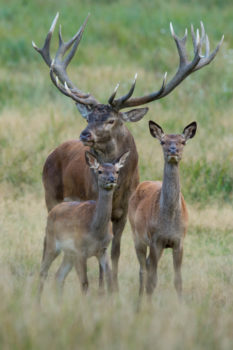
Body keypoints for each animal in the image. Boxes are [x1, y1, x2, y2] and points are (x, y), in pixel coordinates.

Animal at [38, 149, 129, 300]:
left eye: (116, 171)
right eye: (99, 171)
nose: (112, 179)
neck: (95, 231)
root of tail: (53, 211)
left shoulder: (102, 250)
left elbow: (109, 279)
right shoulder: (80, 250)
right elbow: (85, 283)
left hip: (68, 253)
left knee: (58, 276)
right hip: (51, 243)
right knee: (43, 272)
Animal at [128, 121, 198, 300]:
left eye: (183, 141)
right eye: (162, 141)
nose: (172, 150)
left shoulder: (179, 241)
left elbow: (178, 281)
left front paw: (181, 304)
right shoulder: (155, 240)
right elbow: (153, 282)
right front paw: (149, 305)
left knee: (146, 265)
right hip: (136, 235)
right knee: (142, 269)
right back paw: (139, 301)